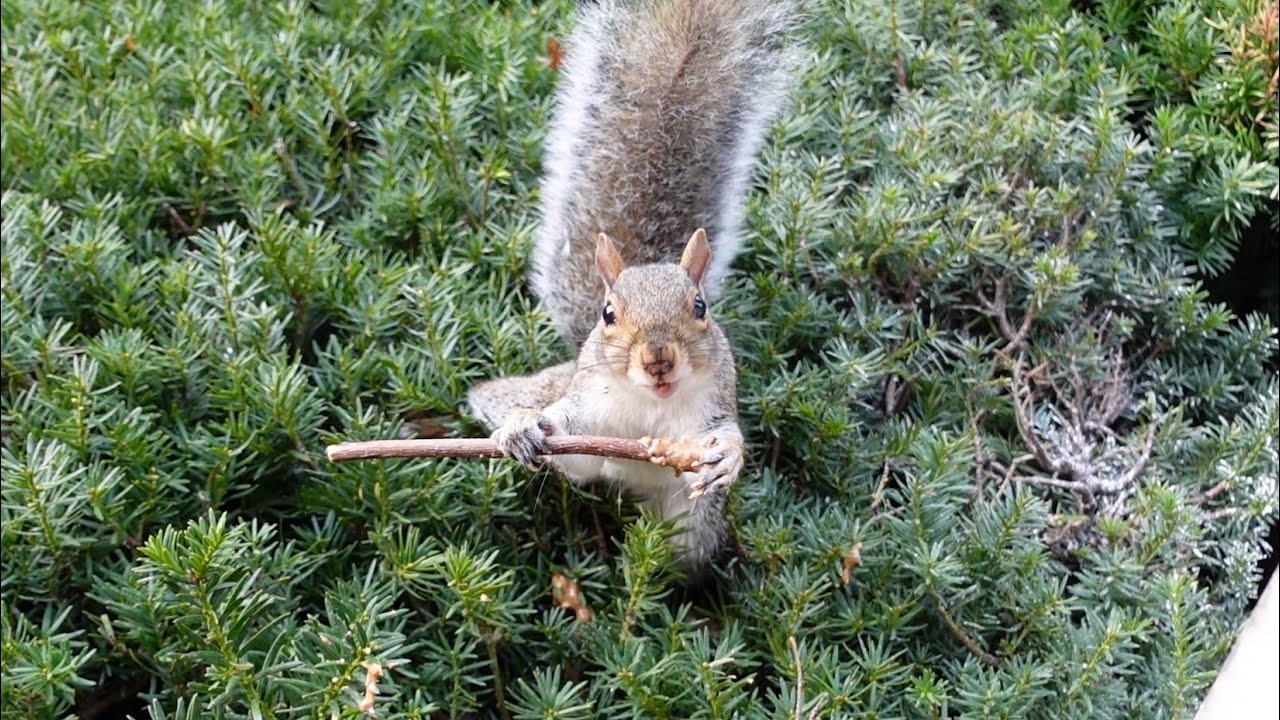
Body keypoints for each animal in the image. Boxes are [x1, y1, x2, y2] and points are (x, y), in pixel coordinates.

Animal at [465, 0, 798, 577]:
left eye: (700, 307)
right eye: (608, 315)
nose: (658, 360)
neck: (650, 405)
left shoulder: (712, 410)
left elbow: (729, 436)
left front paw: (727, 456)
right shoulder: (587, 419)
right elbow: (567, 443)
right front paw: (525, 429)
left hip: (691, 528)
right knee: (499, 397)